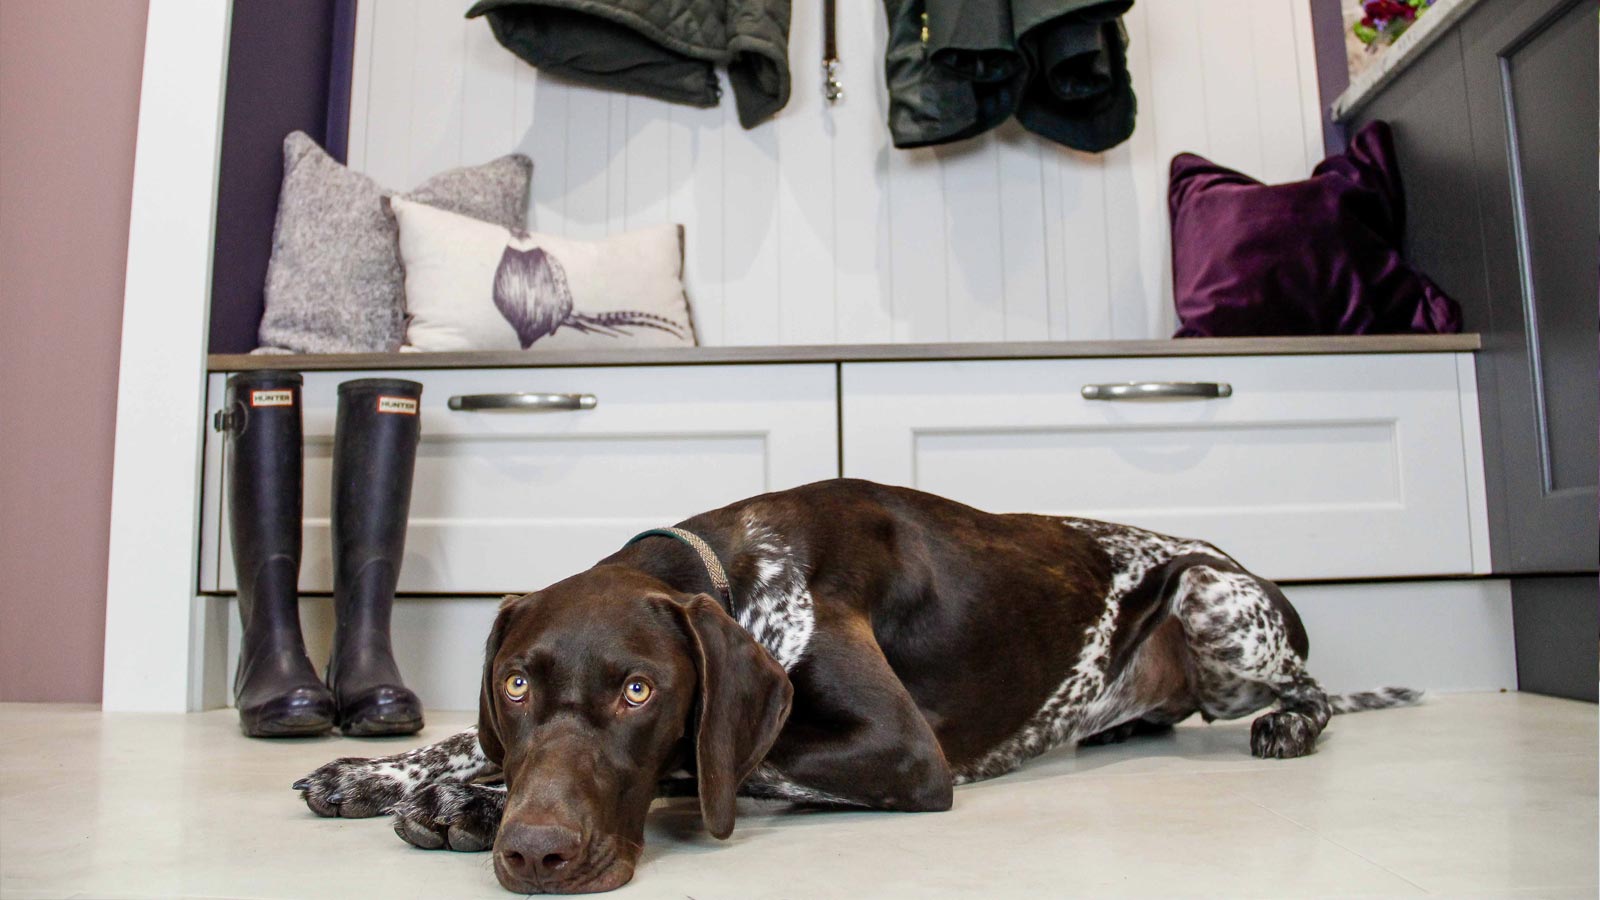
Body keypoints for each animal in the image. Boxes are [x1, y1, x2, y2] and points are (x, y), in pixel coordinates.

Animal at [294, 477, 1420, 890]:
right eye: (516, 687)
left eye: (639, 694)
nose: (535, 848)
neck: (733, 568)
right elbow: (465, 739)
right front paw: (381, 773)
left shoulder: (901, 753)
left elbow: (708, 767)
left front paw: (467, 803)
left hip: (1214, 608)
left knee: (1310, 686)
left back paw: (1295, 723)